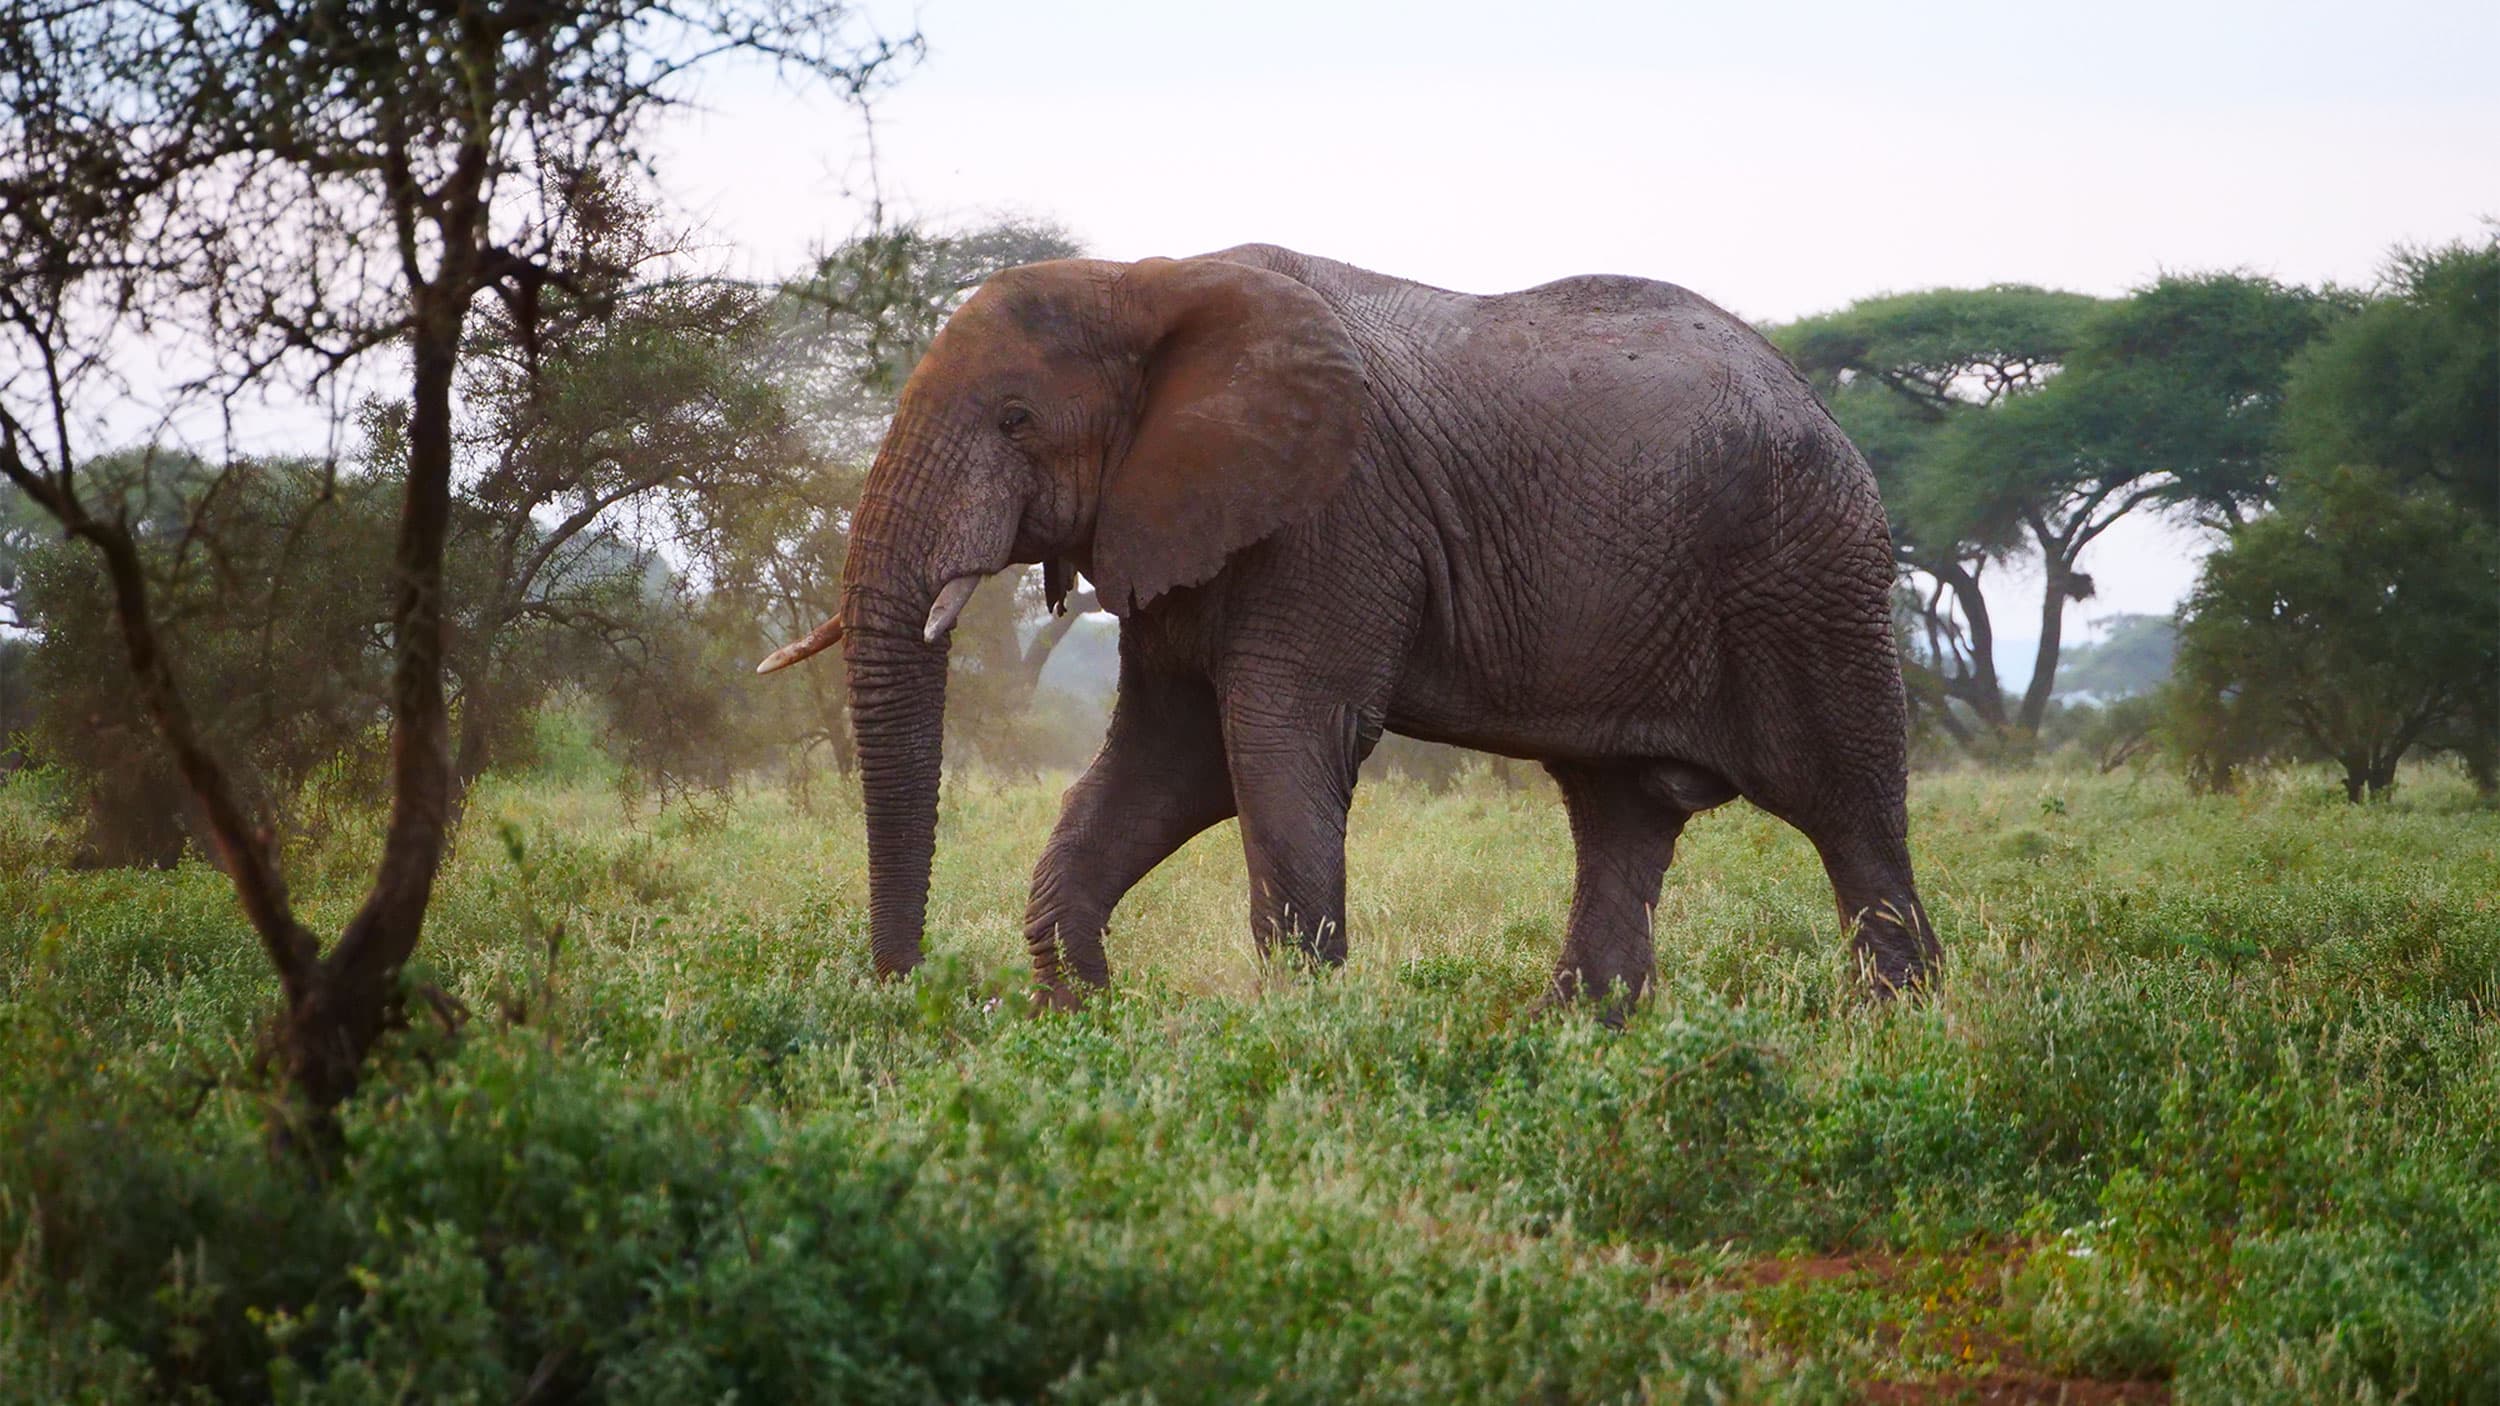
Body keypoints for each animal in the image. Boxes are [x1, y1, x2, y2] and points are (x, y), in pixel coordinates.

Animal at [759, 243, 1939, 1010]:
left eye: (1015, 419)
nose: (908, 996)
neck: (1145, 279)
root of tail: (1816, 398)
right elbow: (1167, 762)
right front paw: (1084, 1014)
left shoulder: (1336, 514)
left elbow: (1277, 742)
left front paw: (1301, 1044)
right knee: (1620, 813)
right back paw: (1580, 1039)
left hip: (1807, 571)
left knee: (1847, 803)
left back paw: (1894, 1035)